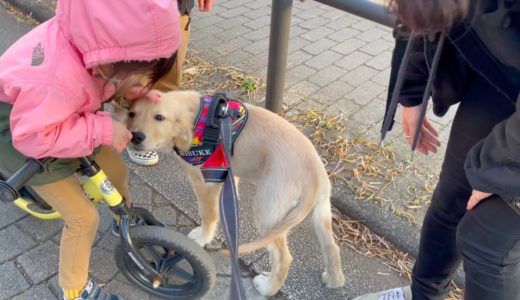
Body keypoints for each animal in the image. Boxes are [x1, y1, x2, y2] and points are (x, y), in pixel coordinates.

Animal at [119, 90, 346, 296]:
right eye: (131, 113)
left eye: (159, 117)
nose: (135, 136)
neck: (197, 120)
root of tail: (315, 174)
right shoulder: (227, 174)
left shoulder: (204, 181)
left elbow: (208, 215)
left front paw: (203, 237)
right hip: (320, 213)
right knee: (332, 247)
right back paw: (334, 280)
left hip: (267, 209)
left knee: (283, 258)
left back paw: (267, 288)